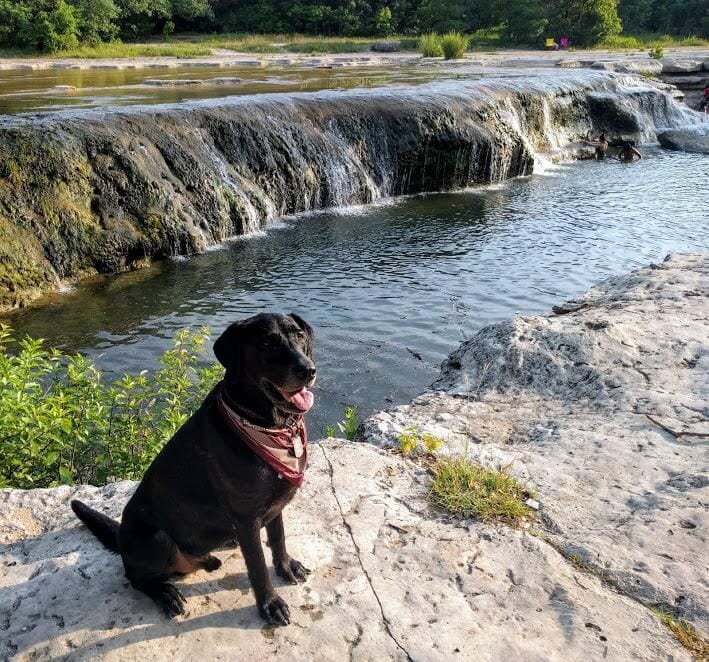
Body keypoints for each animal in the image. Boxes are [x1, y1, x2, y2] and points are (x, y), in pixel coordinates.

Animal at [71, 316, 316, 628]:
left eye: (298, 335)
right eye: (266, 342)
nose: (308, 370)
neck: (265, 425)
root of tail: (121, 538)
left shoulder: (275, 504)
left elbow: (278, 538)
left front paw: (286, 567)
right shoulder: (247, 518)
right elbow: (258, 566)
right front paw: (270, 604)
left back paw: (208, 559)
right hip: (155, 537)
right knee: (136, 578)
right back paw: (165, 594)